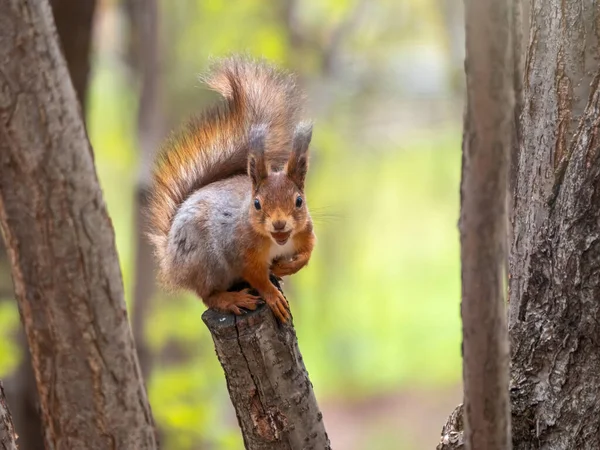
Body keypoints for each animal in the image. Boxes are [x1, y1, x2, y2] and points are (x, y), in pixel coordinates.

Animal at [146, 55, 314, 324]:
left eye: (299, 201)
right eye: (257, 204)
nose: (279, 224)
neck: (278, 241)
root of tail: (170, 262)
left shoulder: (305, 232)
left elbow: (307, 253)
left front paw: (287, 266)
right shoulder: (240, 251)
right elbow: (256, 277)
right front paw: (272, 296)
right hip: (205, 262)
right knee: (207, 296)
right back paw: (233, 299)